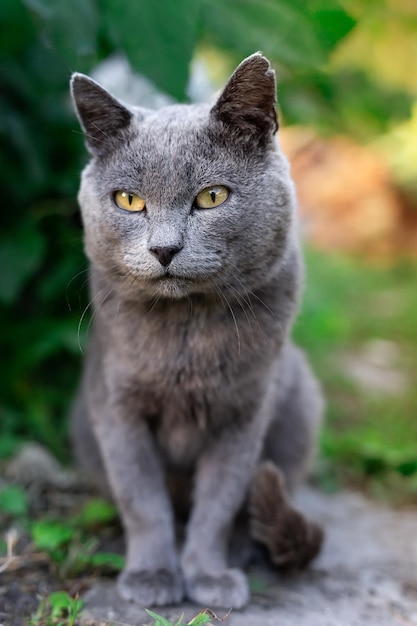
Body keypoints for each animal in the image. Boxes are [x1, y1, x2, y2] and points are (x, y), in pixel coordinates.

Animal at [70, 52, 324, 604]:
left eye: (212, 197)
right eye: (128, 201)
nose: (164, 249)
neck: (187, 332)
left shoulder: (245, 413)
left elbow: (219, 504)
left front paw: (208, 575)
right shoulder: (117, 407)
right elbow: (143, 501)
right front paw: (152, 575)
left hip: (300, 402)